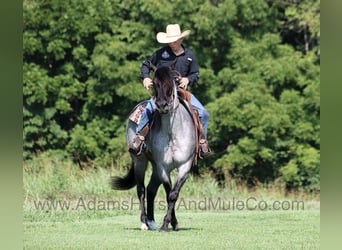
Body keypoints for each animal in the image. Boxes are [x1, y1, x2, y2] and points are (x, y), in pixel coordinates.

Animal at [111, 65, 196, 231]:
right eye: (154, 83)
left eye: (171, 81)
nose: (162, 104)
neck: (172, 134)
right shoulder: (163, 167)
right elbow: (168, 193)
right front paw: (167, 223)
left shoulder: (184, 166)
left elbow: (173, 194)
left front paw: (171, 223)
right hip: (140, 161)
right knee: (141, 190)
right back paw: (144, 222)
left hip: (154, 167)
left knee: (151, 190)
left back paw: (151, 222)